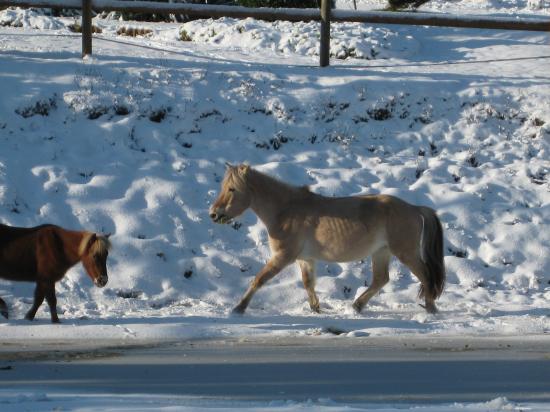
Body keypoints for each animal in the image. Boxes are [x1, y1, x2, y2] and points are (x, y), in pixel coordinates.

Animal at [211, 164, 448, 316]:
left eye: (232, 188)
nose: (214, 214)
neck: (285, 211)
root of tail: (415, 208)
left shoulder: (283, 257)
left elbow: (259, 280)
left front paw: (238, 308)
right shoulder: (305, 259)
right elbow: (308, 283)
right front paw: (316, 308)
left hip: (405, 253)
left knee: (426, 276)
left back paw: (430, 309)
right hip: (381, 252)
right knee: (381, 279)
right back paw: (357, 306)